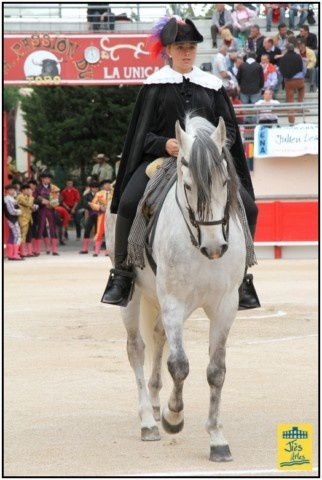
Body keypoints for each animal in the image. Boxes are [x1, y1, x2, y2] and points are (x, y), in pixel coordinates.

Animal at [104, 115, 245, 462]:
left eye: (225, 182)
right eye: (189, 185)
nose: (215, 247)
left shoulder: (225, 306)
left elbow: (216, 370)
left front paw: (217, 438)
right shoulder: (173, 302)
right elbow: (179, 365)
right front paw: (173, 417)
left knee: (157, 337)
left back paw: (155, 406)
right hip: (133, 298)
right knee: (137, 349)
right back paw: (148, 421)